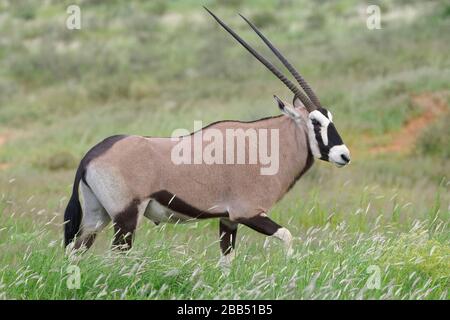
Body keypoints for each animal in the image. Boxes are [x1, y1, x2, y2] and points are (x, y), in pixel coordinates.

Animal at [64, 8, 352, 262]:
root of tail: (91, 155)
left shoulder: (228, 219)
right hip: (125, 218)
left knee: (75, 253)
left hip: (96, 217)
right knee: (115, 258)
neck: (267, 144)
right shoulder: (247, 213)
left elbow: (227, 261)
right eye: (315, 122)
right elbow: (287, 236)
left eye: (331, 117)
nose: (344, 155)